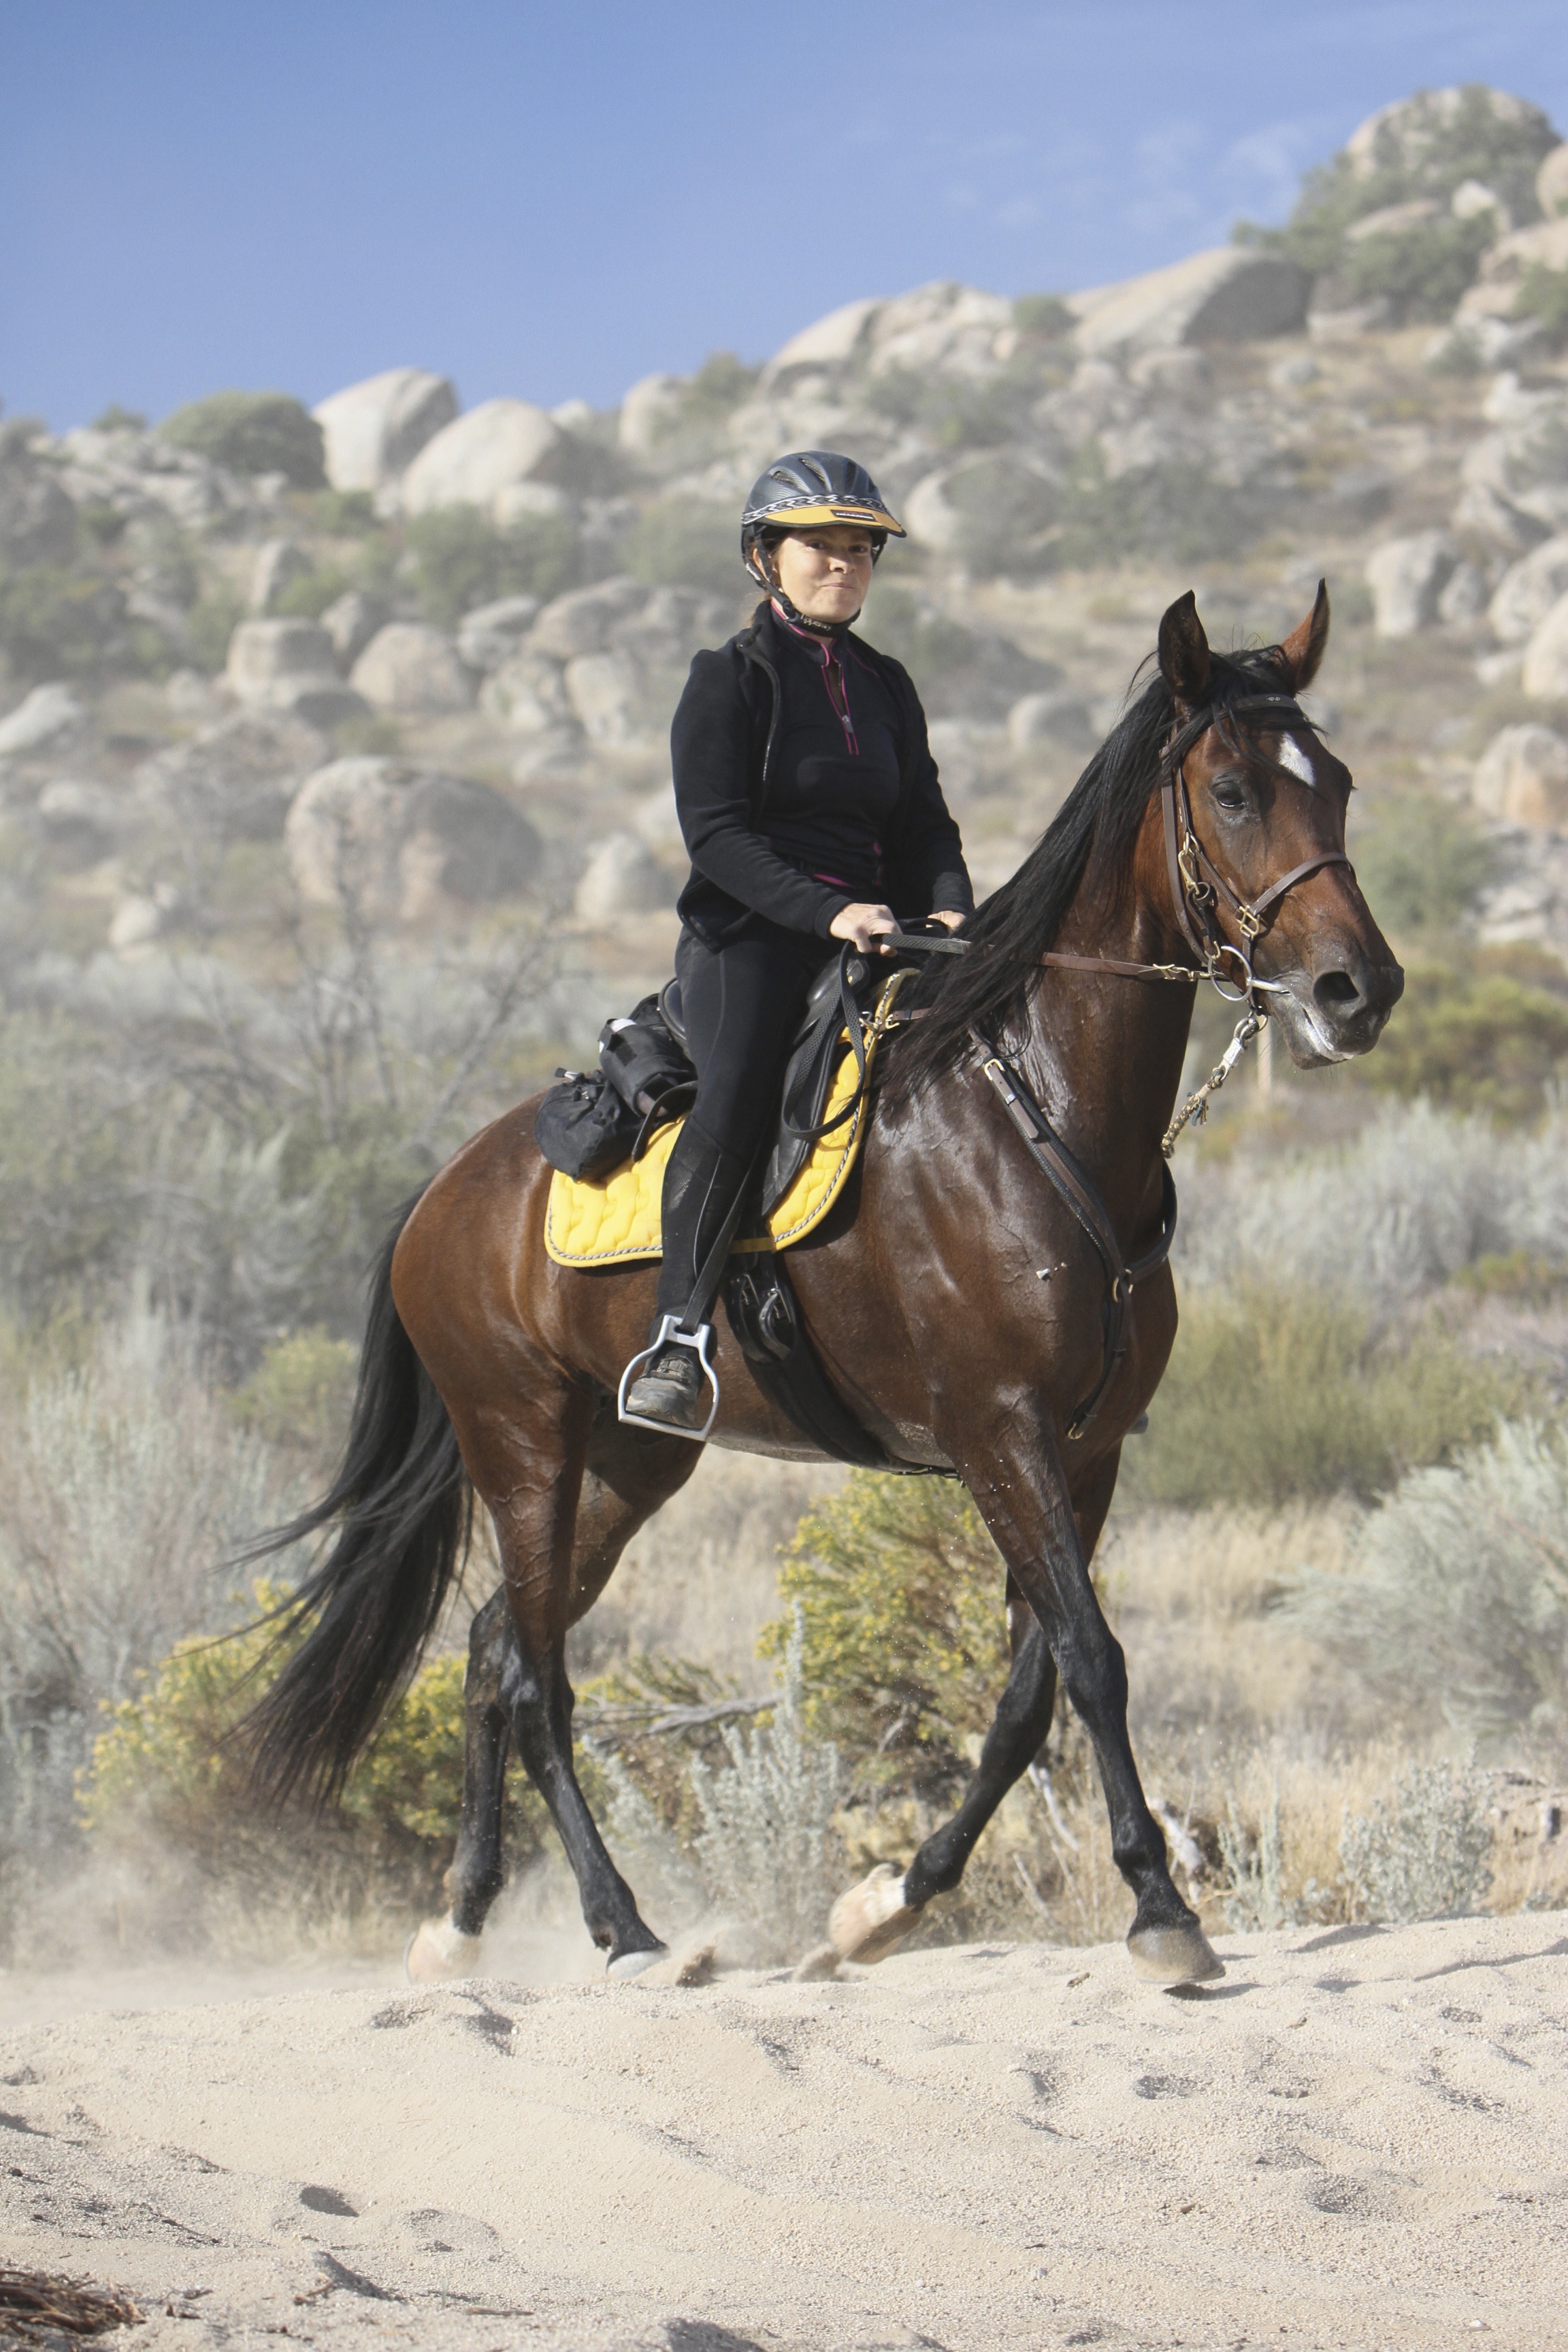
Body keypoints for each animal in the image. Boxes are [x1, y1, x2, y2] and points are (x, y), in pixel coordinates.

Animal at [248, 588, 1410, 1984]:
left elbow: (1025, 1693)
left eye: (1337, 782)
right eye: (1231, 791)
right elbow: (1091, 1661)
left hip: (630, 1460)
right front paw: (1159, 1909)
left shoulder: (1085, 1451)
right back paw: (627, 1930)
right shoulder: (998, 1431)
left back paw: (461, 1922)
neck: (1038, 1112)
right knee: (535, 1678)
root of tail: (437, 1194)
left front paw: (885, 1905)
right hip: (521, 1443)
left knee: (487, 1653)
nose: (1359, 991)